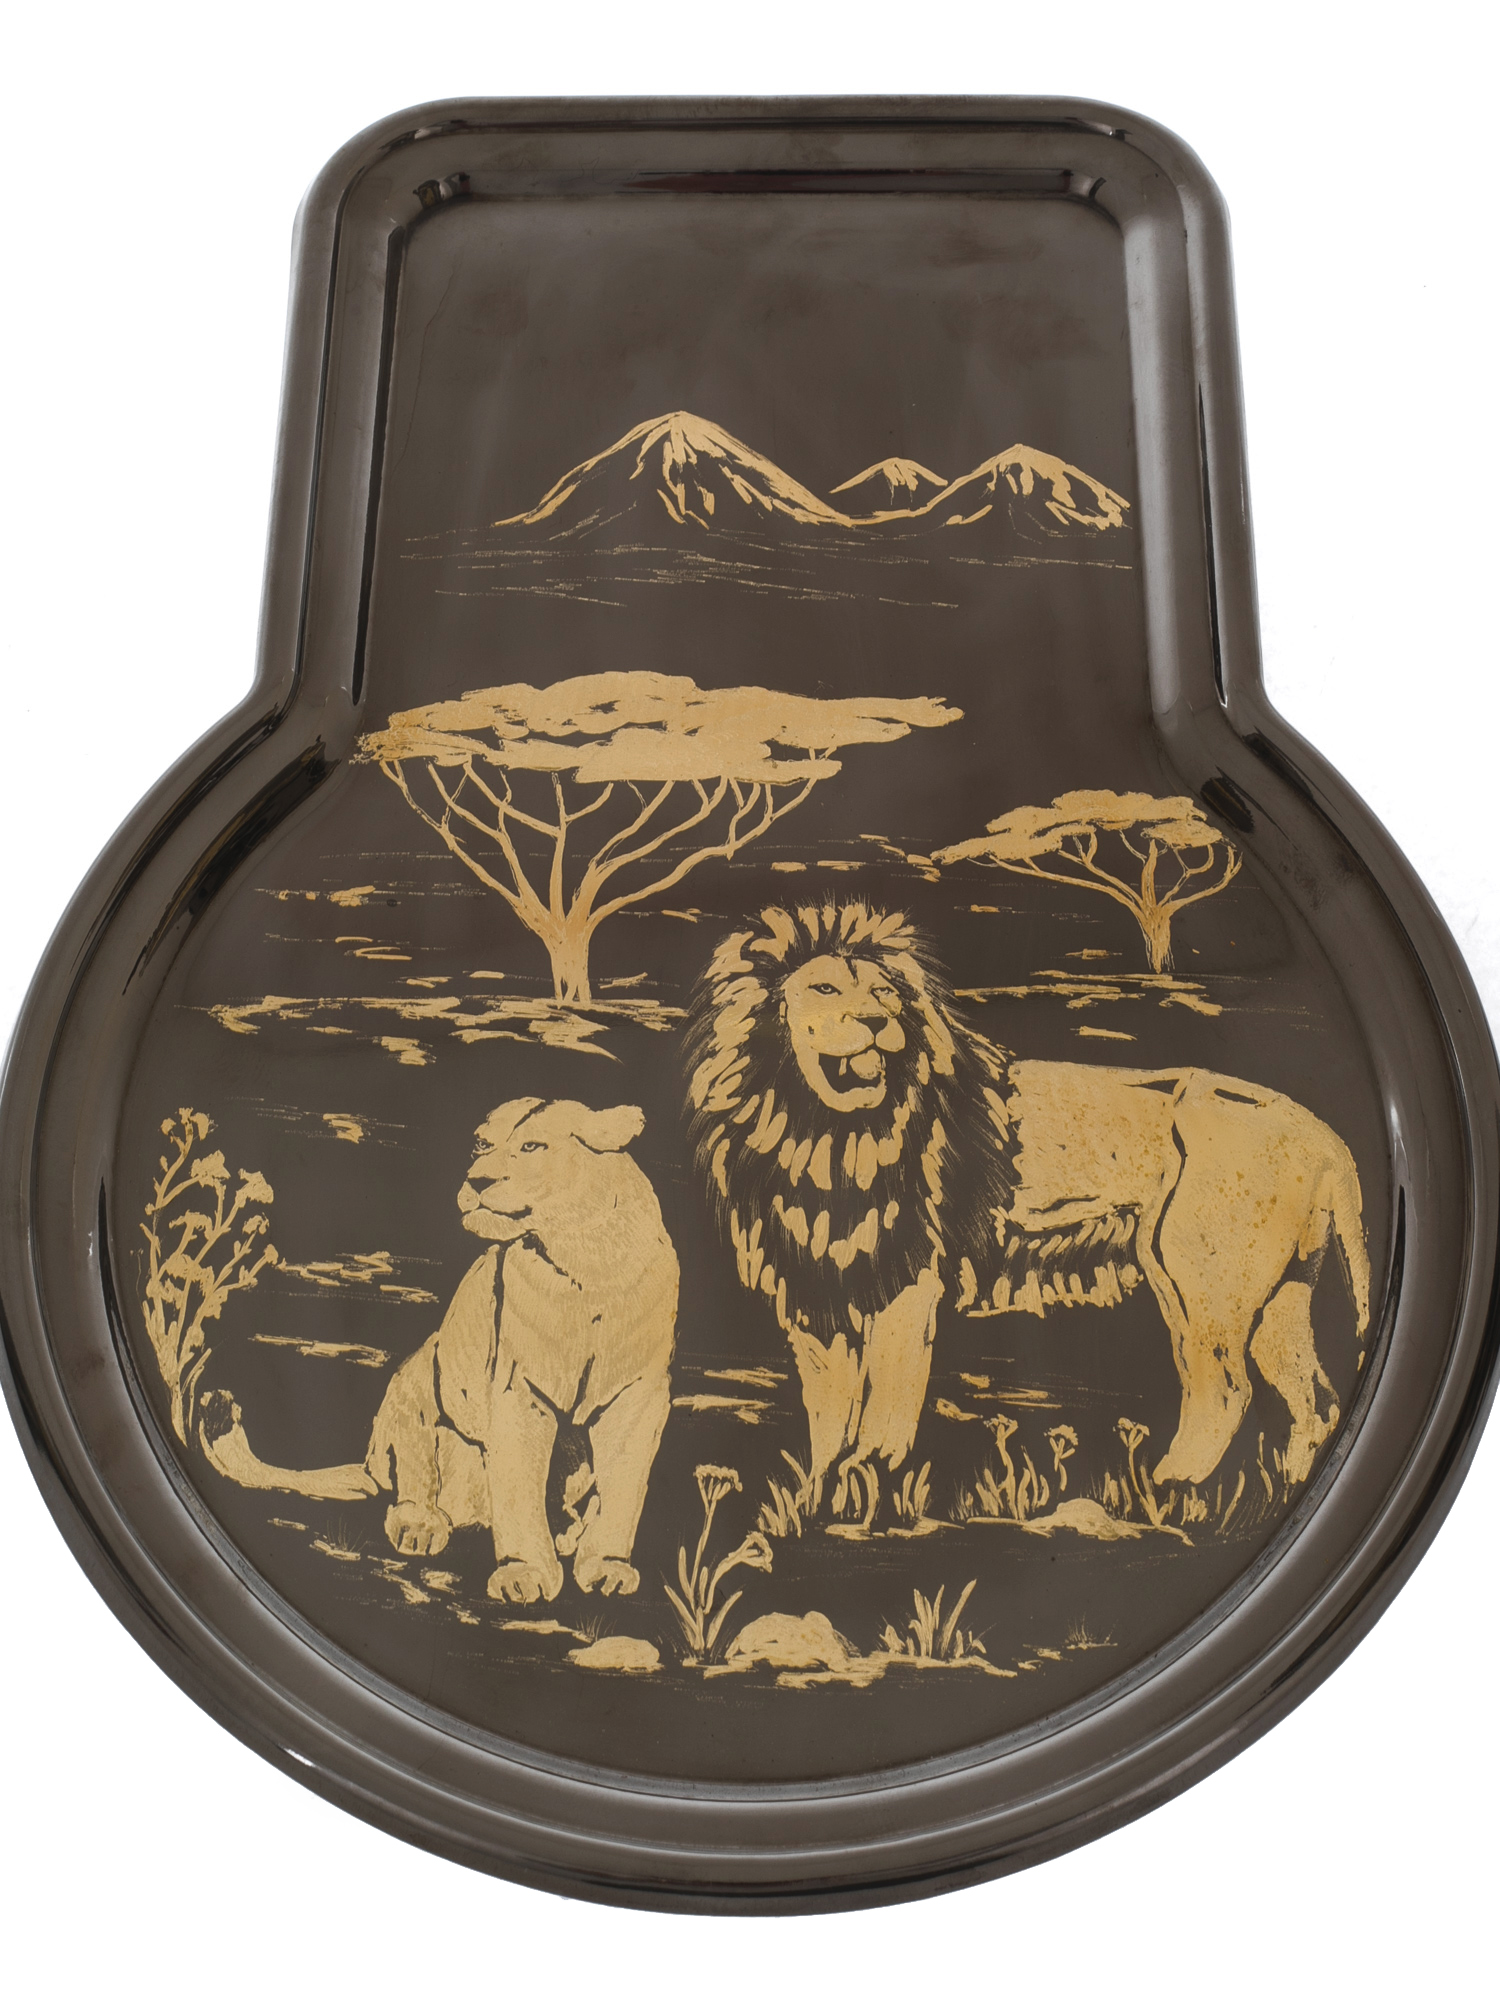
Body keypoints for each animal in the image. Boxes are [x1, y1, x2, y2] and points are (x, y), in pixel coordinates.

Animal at [202, 1098, 679, 1604]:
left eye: (532, 1146)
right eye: (482, 1144)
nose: (476, 1181)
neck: (587, 1261)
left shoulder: (640, 1394)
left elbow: (624, 1485)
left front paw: (606, 1566)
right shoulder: (517, 1388)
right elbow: (519, 1490)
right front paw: (524, 1574)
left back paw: (570, 1533)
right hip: (414, 1385)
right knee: (414, 1485)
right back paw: (422, 1526)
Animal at [685, 903, 1370, 1509]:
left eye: (884, 993)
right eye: (824, 988)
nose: (879, 1022)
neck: (823, 1134)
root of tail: (1326, 1135)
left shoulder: (908, 1285)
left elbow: (887, 1399)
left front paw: (871, 1480)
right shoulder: (817, 1293)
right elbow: (829, 1415)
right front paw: (818, 1499)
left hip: (1196, 1275)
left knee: (1225, 1390)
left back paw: (1164, 1486)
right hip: (1276, 1294)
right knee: (1315, 1399)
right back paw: (1278, 1483)